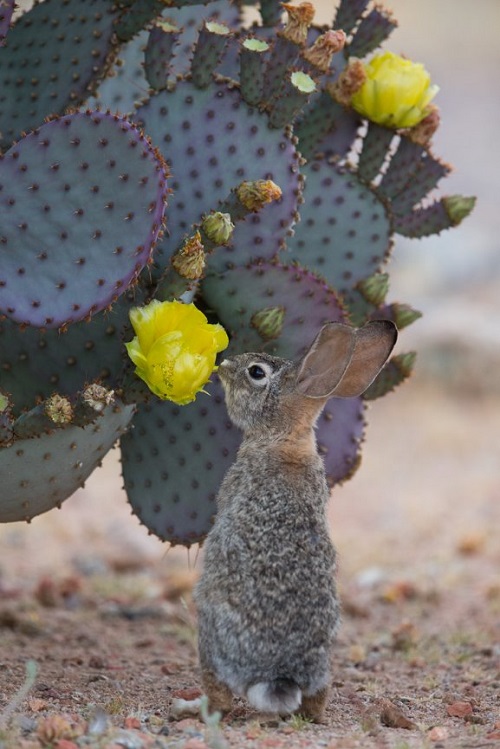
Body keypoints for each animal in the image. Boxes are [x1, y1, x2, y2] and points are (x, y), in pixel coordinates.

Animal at [194, 319, 397, 722]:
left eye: (256, 373)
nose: (224, 365)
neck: (284, 438)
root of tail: (279, 675)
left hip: (210, 634)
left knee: (219, 697)